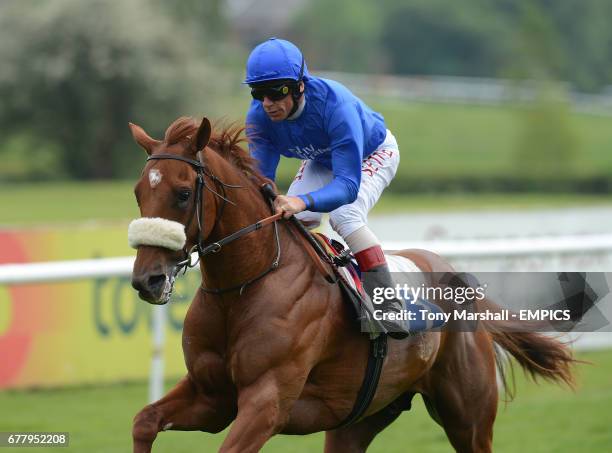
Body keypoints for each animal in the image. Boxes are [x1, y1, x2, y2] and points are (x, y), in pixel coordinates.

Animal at [126, 117, 576, 452]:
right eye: (137, 192)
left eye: (183, 193)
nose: (147, 279)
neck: (244, 286)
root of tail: (457, 277)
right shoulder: (211, 395)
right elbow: (143, 421)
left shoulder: (267, 400)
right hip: (359, 416)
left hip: (468, 417)